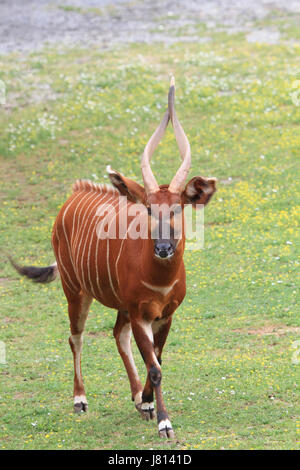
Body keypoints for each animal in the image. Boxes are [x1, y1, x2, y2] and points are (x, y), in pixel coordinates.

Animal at [11, 77, 217, 436]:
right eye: (148, 208)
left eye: (177, 208)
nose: (163, 249)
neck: (160, 279)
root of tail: (73, 195)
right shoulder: (140, 313)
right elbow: (155, 366)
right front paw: (164, 422)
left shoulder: (164, 314)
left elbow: (156, 359)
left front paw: (147, 402)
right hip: (75, 291)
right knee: (76, 337)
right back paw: (80, 400)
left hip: (117, 305)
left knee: (117, 335)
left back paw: (137, 398)